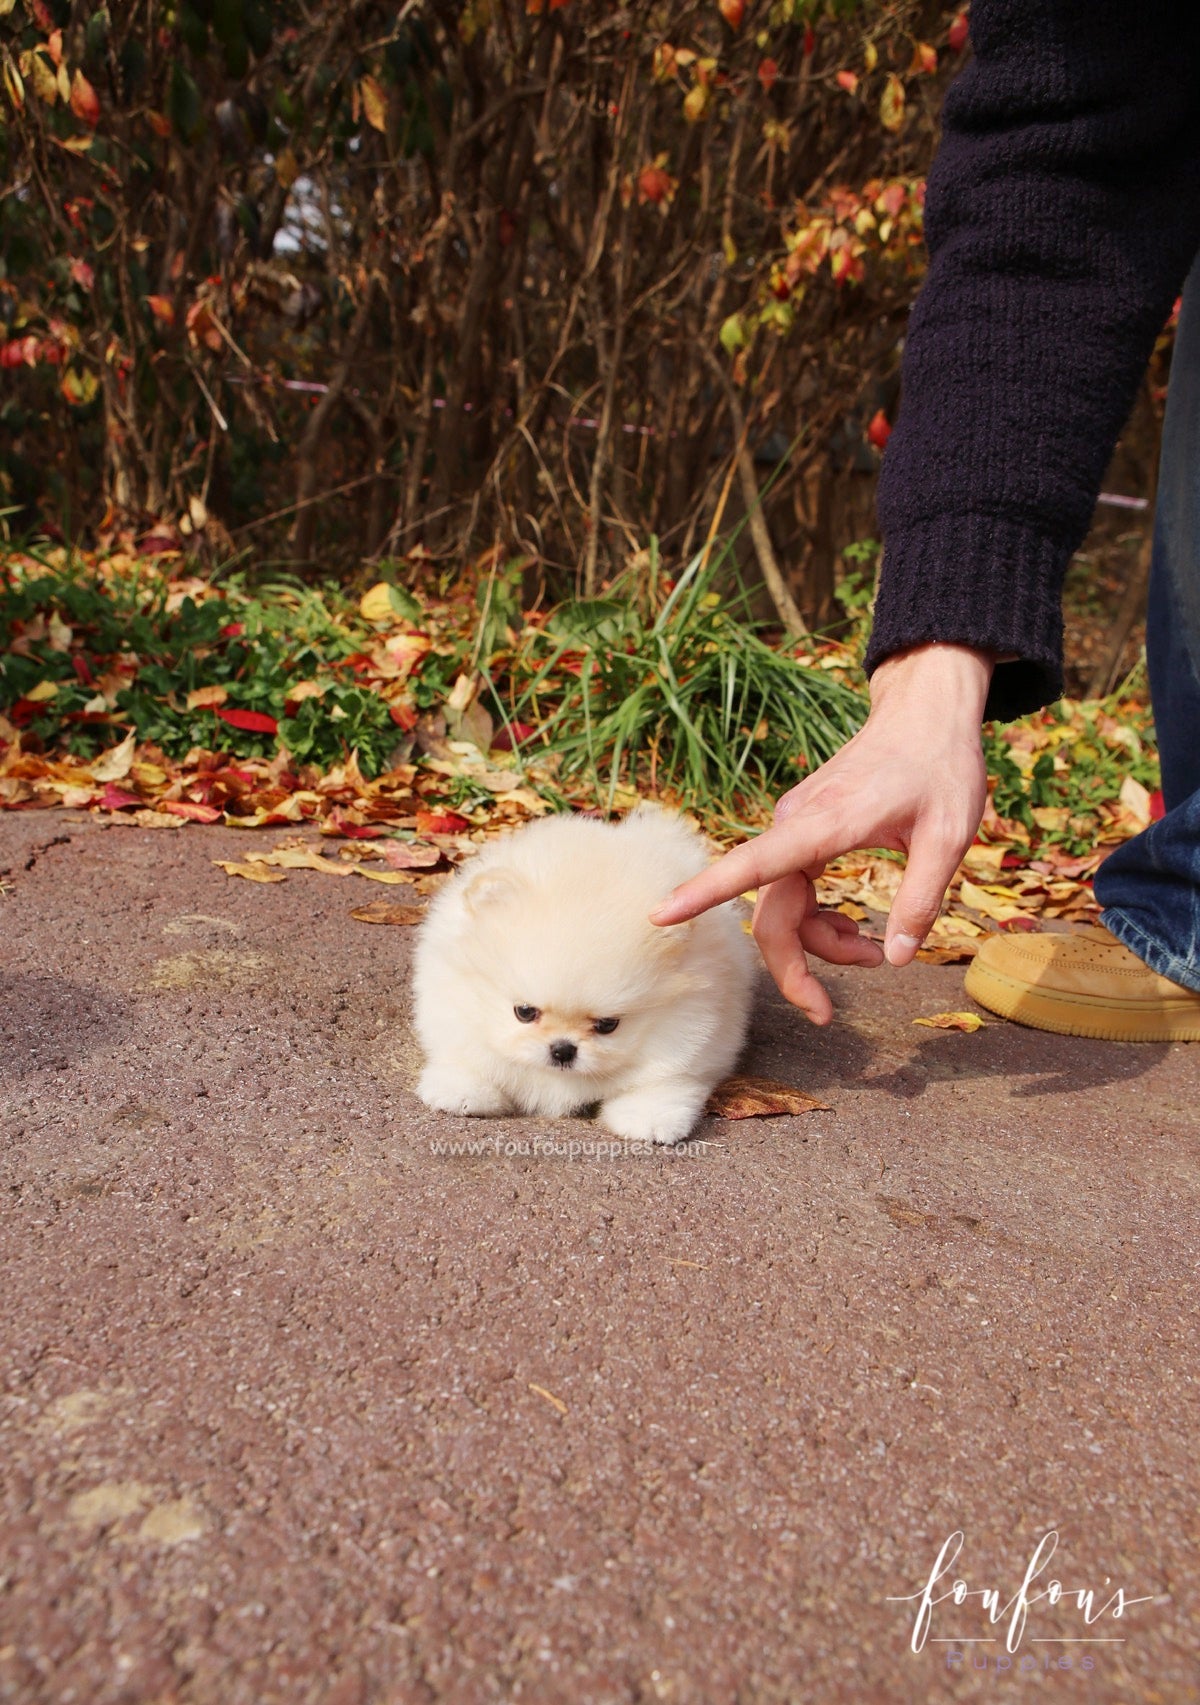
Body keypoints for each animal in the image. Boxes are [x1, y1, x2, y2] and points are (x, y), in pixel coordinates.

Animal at [412, 808, 750, 1145]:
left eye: (607, 1025)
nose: (562, 1050)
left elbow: (665, 1081)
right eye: (524, 1012)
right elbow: (468, 1057)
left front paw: (649, 1119)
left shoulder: (692, 1032)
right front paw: (461, 1091)